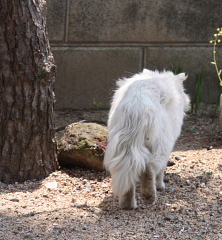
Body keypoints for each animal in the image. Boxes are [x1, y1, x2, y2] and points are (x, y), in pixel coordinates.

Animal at [103, 68, 189, 209]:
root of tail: (136, 106)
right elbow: (161, 171)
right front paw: (160, 186)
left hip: (123, 146)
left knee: (129, 172)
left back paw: (128, 204)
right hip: (160, 144)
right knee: (150, 167)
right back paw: (149, 196)